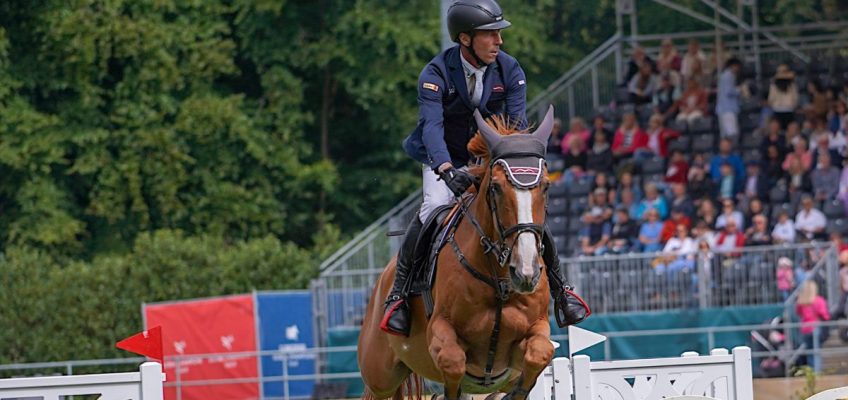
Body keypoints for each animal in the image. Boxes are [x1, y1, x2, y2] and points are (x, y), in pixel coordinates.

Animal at [358, 106, 556, 400]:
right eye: (496, 188)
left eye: (545, 187)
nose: (526, 273)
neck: (498, 281)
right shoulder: (441, 335)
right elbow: (453, 362)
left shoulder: (534, 333)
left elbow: (541, 352)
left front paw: (516, 393)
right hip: (379, 376)